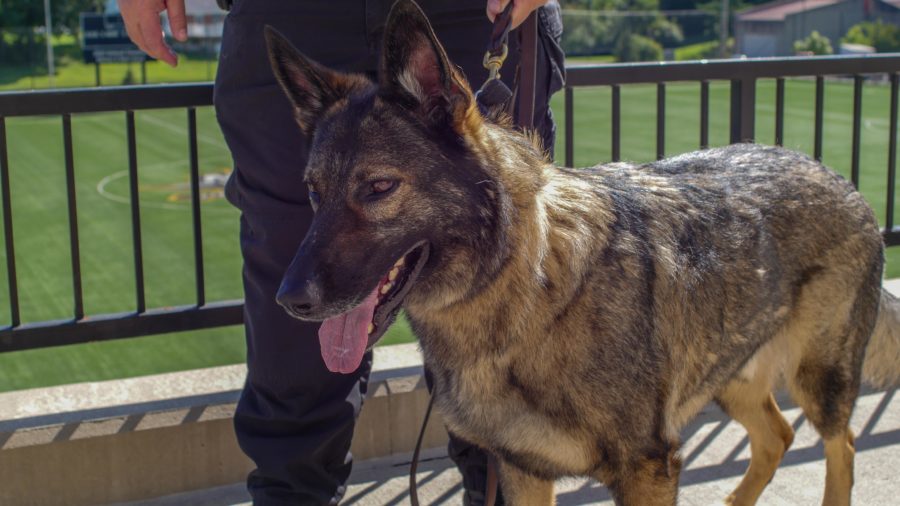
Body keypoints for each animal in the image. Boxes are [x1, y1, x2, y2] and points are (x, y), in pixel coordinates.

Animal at [264, 1, 900, 504]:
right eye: (313, 192)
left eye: (378, 188)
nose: (289, 301)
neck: (526, 290)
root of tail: (838, 176)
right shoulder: (521, 472)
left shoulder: (647, 468)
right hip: (730, 376)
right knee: (778, 437)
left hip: (818, 379)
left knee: (841, 446)